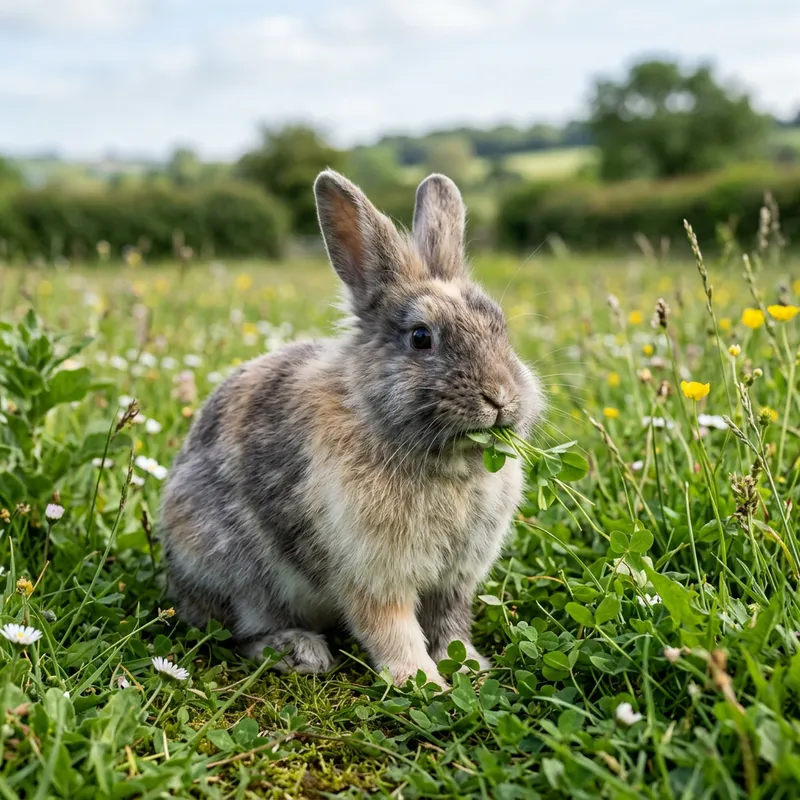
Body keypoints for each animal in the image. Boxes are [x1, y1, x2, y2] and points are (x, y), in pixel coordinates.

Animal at [160, 170, 544, 688]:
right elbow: (392, 629)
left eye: (500, 328)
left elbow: (450, 626)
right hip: (240, 579)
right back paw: (301, 652)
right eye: (421, 338)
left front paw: (469, 669)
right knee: (240, 633)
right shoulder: (374, 575)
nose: (501, 398)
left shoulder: (454, 580)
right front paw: (422, 683)